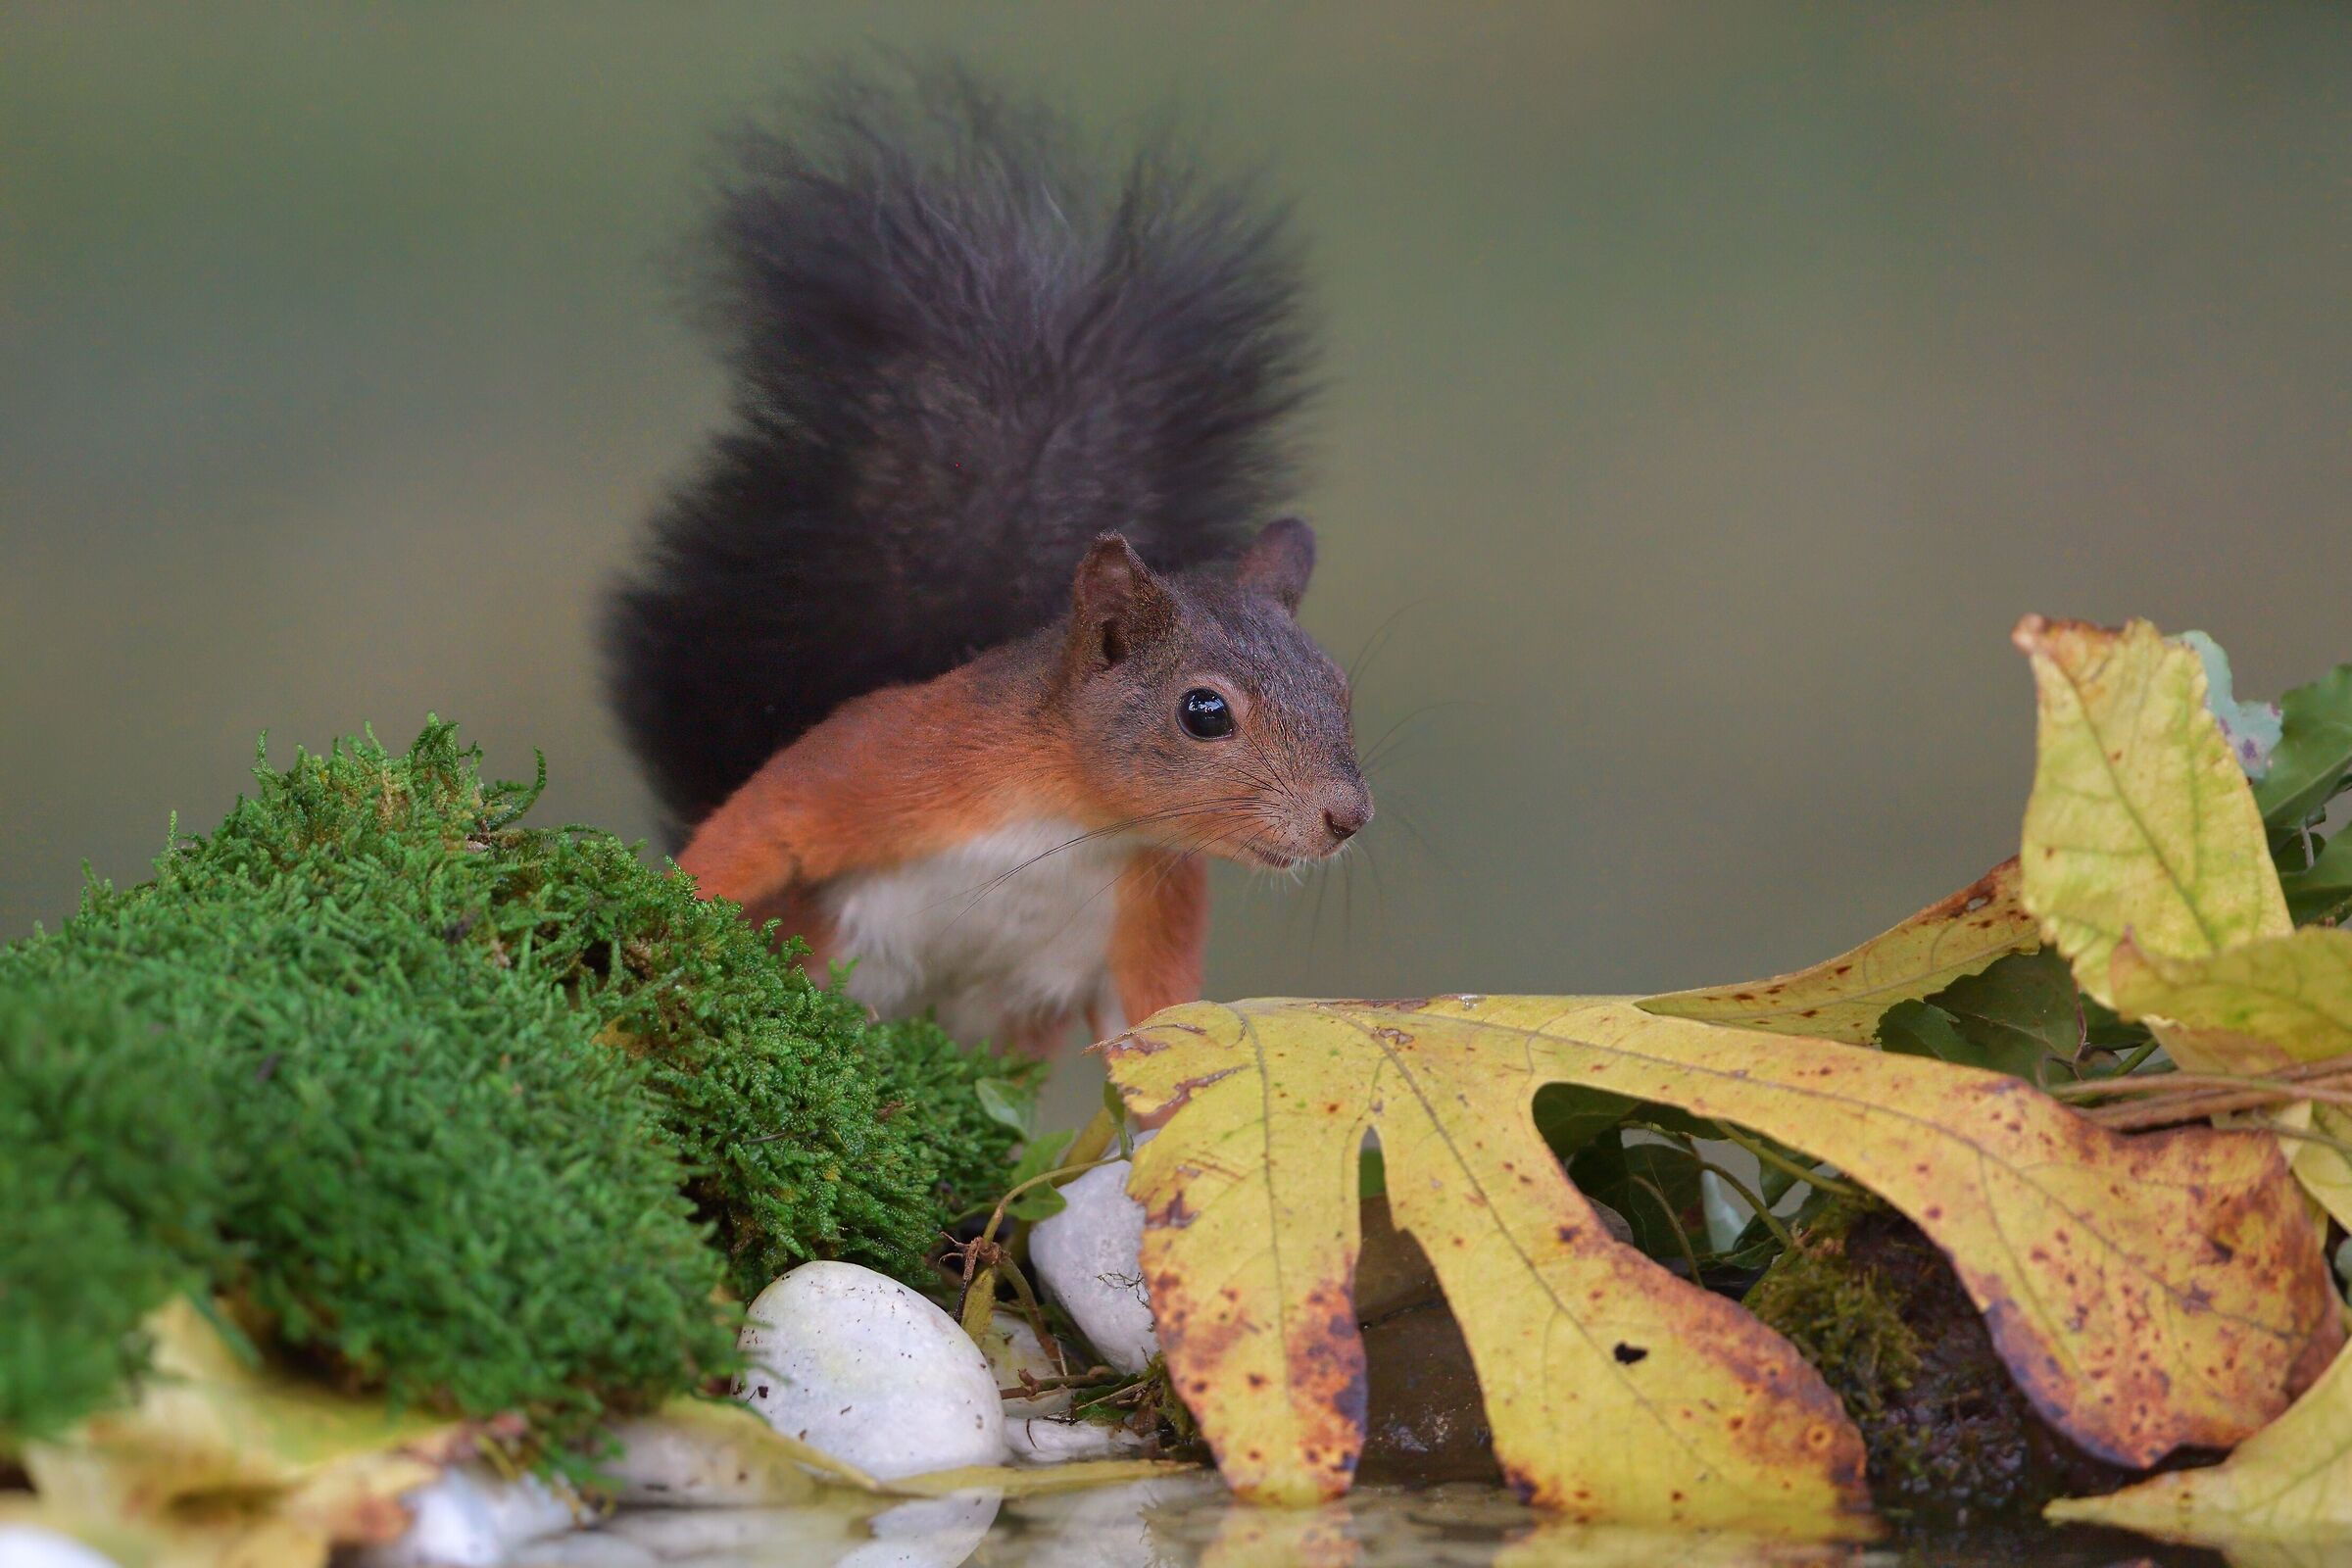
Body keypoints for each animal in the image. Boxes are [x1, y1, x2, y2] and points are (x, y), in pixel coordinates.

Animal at [603, 69, 1371, 1055]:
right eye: (1204, 712)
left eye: (1340, 687)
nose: (1346, 818)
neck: (1074, 819)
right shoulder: (886, 758)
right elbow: (761, 824)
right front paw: (665, 906)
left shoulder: (1156, 908)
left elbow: (1164, 1028)